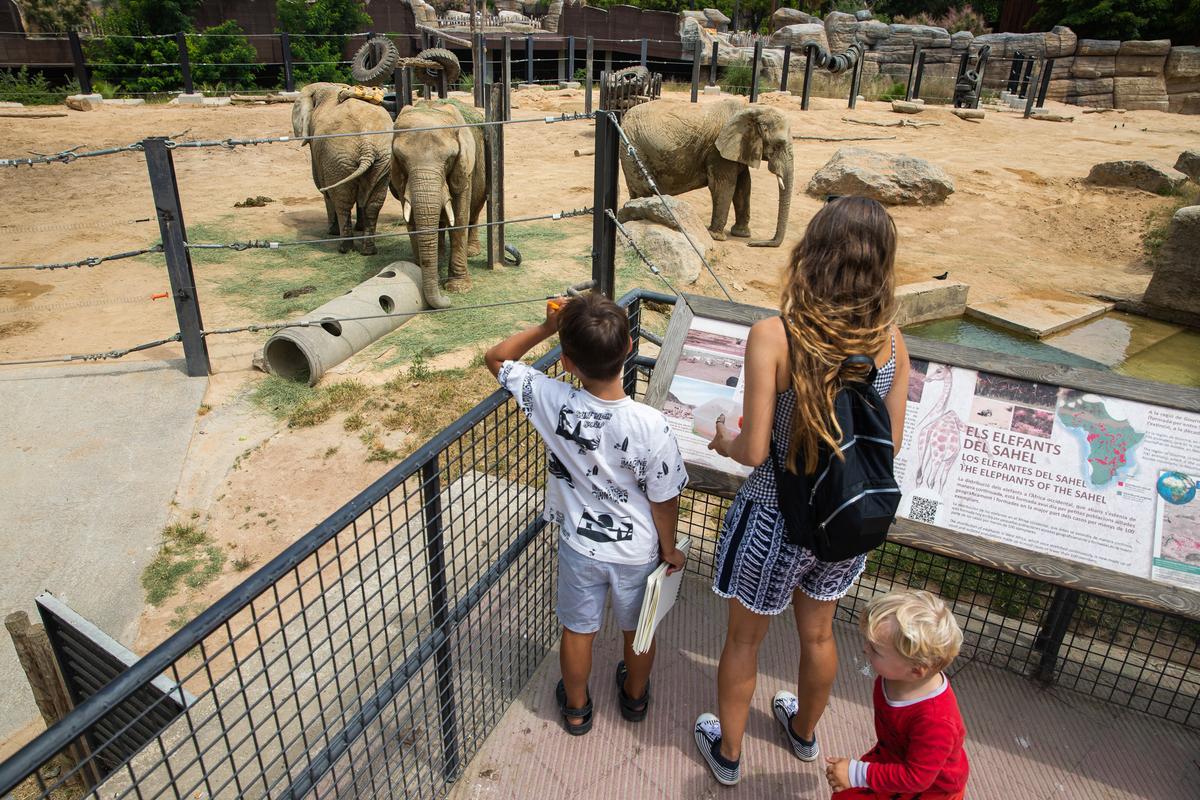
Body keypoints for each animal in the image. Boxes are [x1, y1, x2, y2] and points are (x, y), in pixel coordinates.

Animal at [393, 99, 487, 309]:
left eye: (449, 159)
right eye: (401, 159)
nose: (447, 301)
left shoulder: (464, 167)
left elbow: (460, 218)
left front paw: (458, 288)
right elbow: (411, 222)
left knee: (475, 210)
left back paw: (472, 252)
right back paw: (441, 255)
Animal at [619, 98, 796, 247]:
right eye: (778, 145)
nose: (752, 244)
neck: (752, 108)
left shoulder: (737, 149)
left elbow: (744, 186)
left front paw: (742, 234)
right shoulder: (717, 151)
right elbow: (723, 186)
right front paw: (716, 237)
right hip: (633, 148)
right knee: (643, 190)